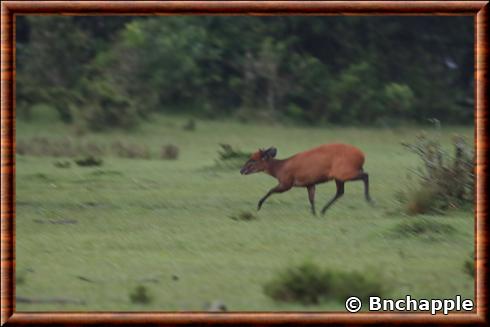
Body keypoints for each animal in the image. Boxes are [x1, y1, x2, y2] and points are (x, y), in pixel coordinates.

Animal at [239, 145, 374, 217]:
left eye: (253, 160)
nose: (241, 170)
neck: (280, 169)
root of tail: (362, 156)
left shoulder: (287, 182)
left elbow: (270, 190)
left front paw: (258, 206)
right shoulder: (309, 184)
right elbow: (311, 199)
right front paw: (313, 214)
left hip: (343, 172)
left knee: (365, 175)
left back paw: (370, 200)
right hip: (339, 176)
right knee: (340, 192)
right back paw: (323, 211)